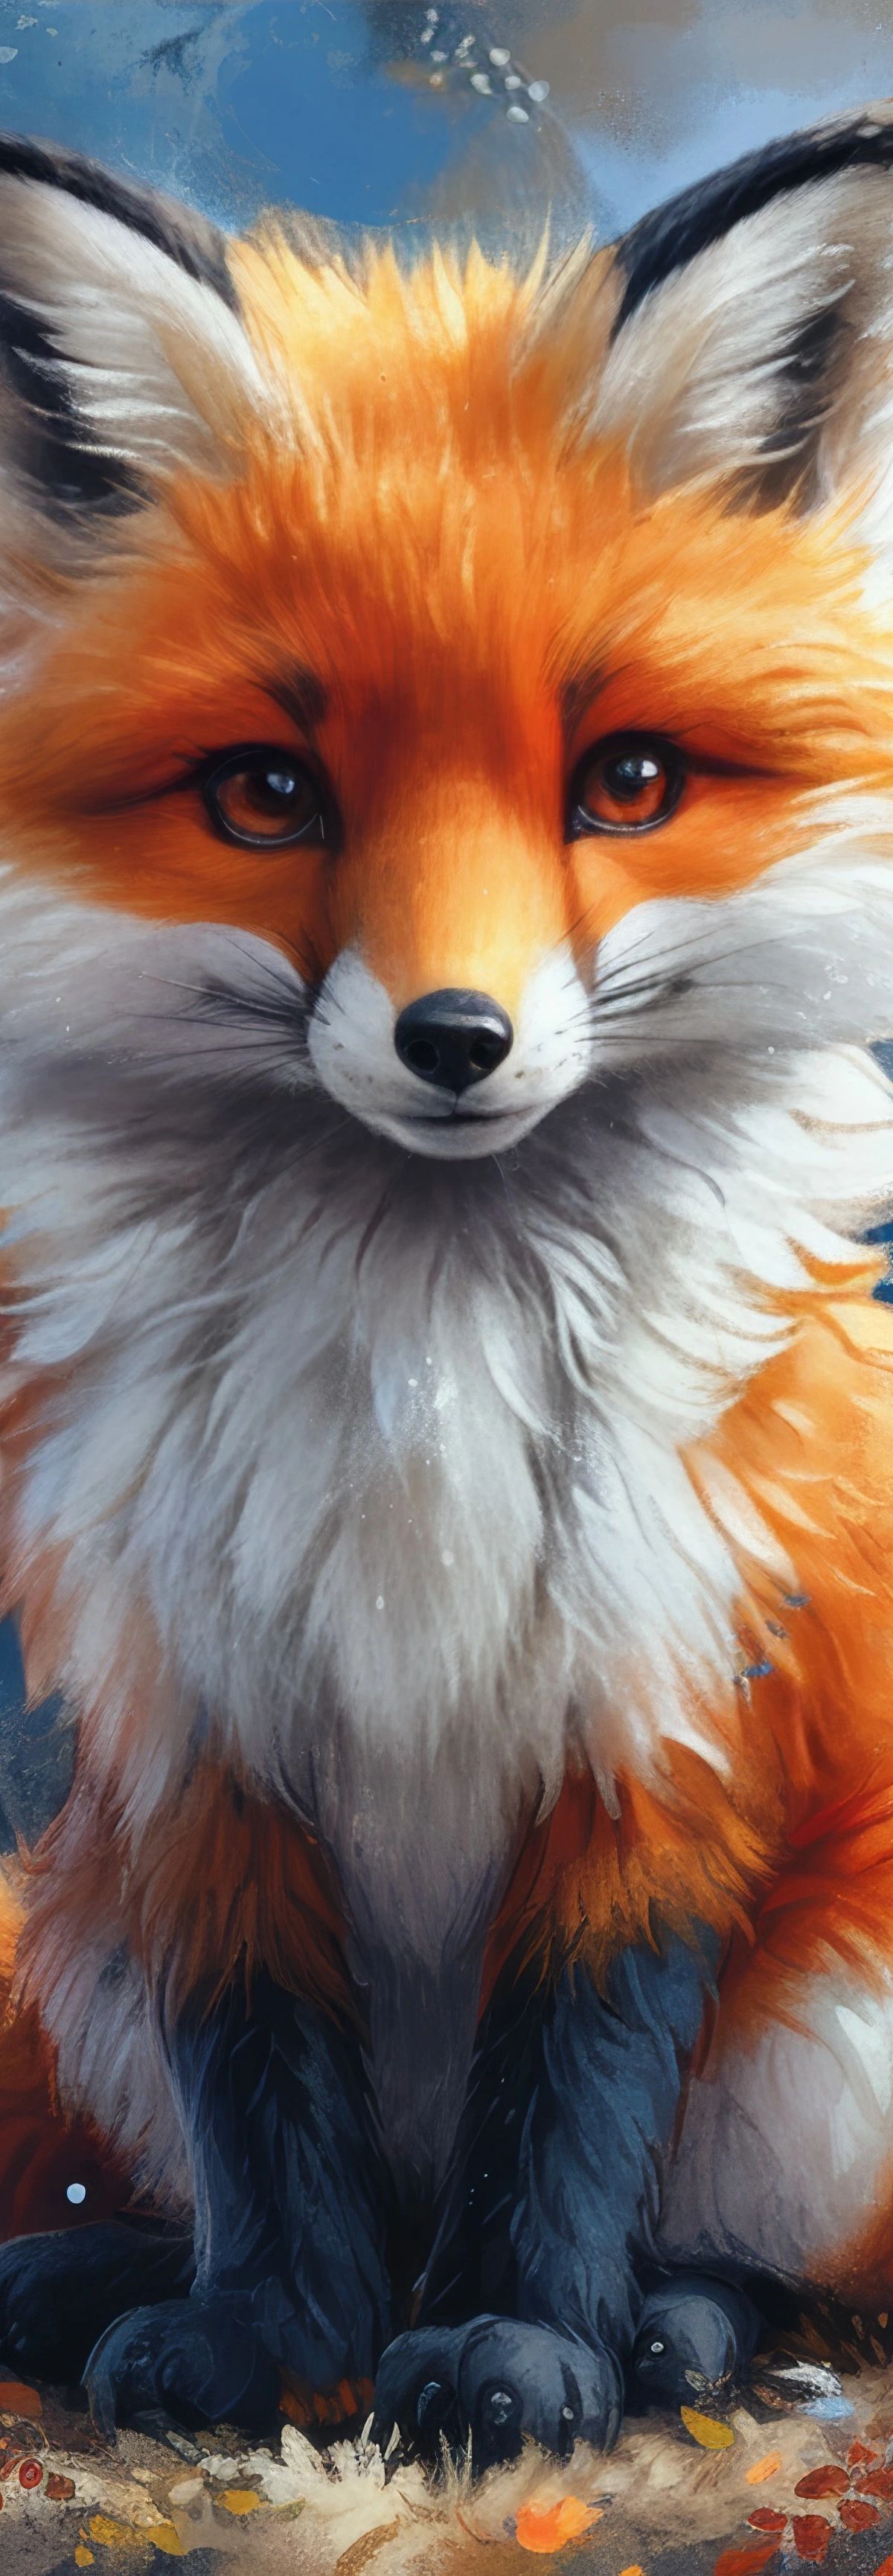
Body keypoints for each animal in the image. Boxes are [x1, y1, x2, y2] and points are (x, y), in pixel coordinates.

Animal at [1, 101, 893, 2466]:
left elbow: (573, 2084)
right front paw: (262, 2331)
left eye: (629, 781)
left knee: (771, 2250)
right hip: (70, 1934)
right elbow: (258, 2078)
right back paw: (92, 2271)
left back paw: (670, 2324)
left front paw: (513, 2346)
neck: (417, 1384)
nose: (457, 1039)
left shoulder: (664, 1708)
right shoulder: (191, 1733)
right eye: (265, 793)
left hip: (832, 2037)